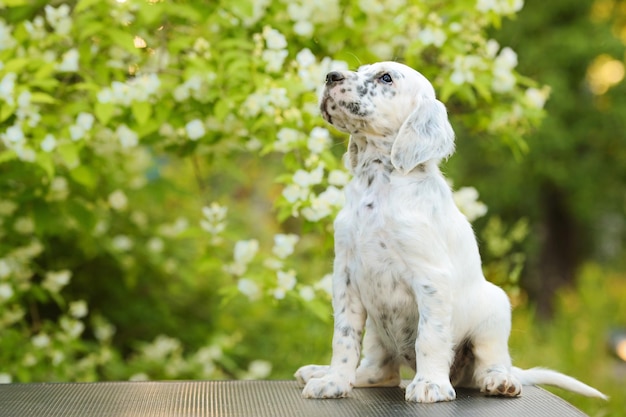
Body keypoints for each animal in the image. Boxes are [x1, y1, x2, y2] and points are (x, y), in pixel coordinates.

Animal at [292, 62, 604, 404]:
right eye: (360, 69)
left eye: (386, 78)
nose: (330, 76)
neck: (378, 185)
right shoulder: (346, 276)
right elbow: (344, 337)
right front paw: (333, 381)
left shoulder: (430, 277)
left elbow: (430, 336)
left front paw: (430, 384)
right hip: (378, 331)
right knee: (380, 372)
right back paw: (320, 371)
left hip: (495, 311)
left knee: (488, 364)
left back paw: (501, 381)